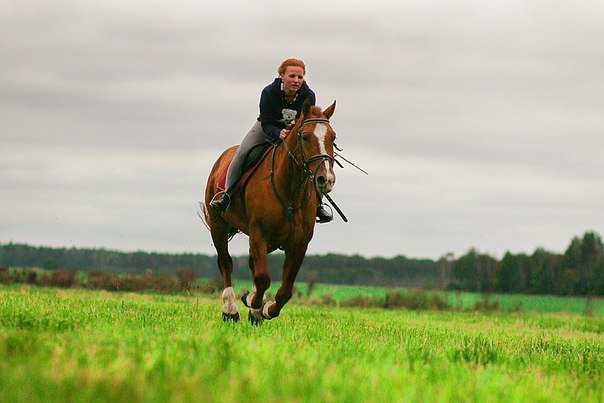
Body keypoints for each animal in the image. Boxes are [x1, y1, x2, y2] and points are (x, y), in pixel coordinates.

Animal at [202, 100, 336, 326]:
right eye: (305, 136)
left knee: (250, 263)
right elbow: (263, 278)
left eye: (333, 138)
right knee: (226, 262)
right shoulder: (259, 234)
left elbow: (285, 291)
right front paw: (251, 301)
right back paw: (230, 310)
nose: (326, 179)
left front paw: (264, 309)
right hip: (218, 225)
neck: (289, 190)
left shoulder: (299, 244)